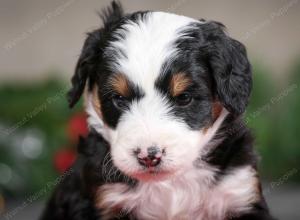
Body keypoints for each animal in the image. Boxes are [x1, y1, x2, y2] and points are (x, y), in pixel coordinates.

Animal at [41, 1, 276, 220]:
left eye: (184, 98)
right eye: (118, 99)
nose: (149, 157)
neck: (172, 185)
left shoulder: (240, 192)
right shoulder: (103, 199)